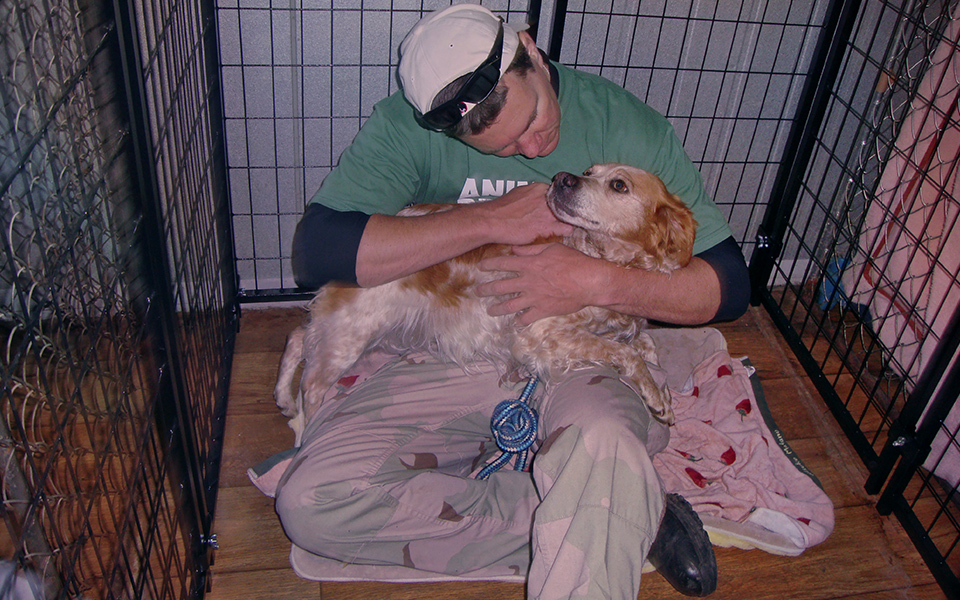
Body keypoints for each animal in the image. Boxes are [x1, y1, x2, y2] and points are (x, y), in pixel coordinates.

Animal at [274, 162, 692, 428]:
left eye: (618, 184)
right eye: (591, 172)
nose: (561, 178)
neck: (601, 259)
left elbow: (645, 343)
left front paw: (663, 388)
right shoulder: (542, 335)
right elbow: (627, 352)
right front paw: (657, 399)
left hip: (356, 327)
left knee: (297, 336)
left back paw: (282, 397)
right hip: (351, 333)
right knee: (311, 384)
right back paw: (302, 431)